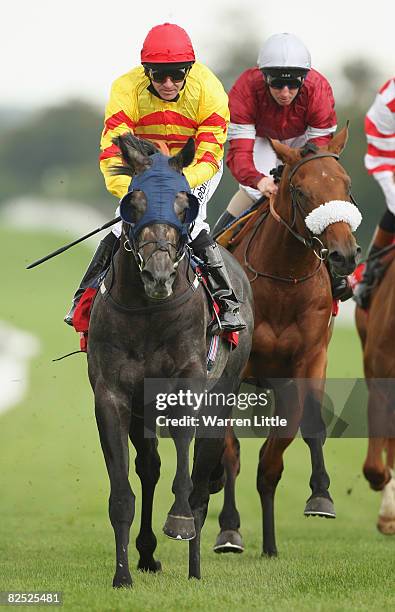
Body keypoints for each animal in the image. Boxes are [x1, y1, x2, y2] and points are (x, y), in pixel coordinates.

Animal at [86, 134, 254, 584]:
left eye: (184, 205)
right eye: (134, 203)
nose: (158, 275)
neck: (149, 311)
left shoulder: (187, 385)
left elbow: (187, 475)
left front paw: (178, 521)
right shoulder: (113, 395)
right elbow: (123, 492)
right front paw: (122, 576)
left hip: (220, 401)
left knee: (200, 483)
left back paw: (195, 568)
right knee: (149, 467)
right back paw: (146, 555)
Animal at [213, 126, 362, 556]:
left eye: (347, 186)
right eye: (300, 191)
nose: (344, 255)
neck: (282, 281)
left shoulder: (310, 359)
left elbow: (299, 436)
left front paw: (321, 497)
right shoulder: (234, 369)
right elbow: (229, 451)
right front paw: (229, 529)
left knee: (269, 462)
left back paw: (270, 545)